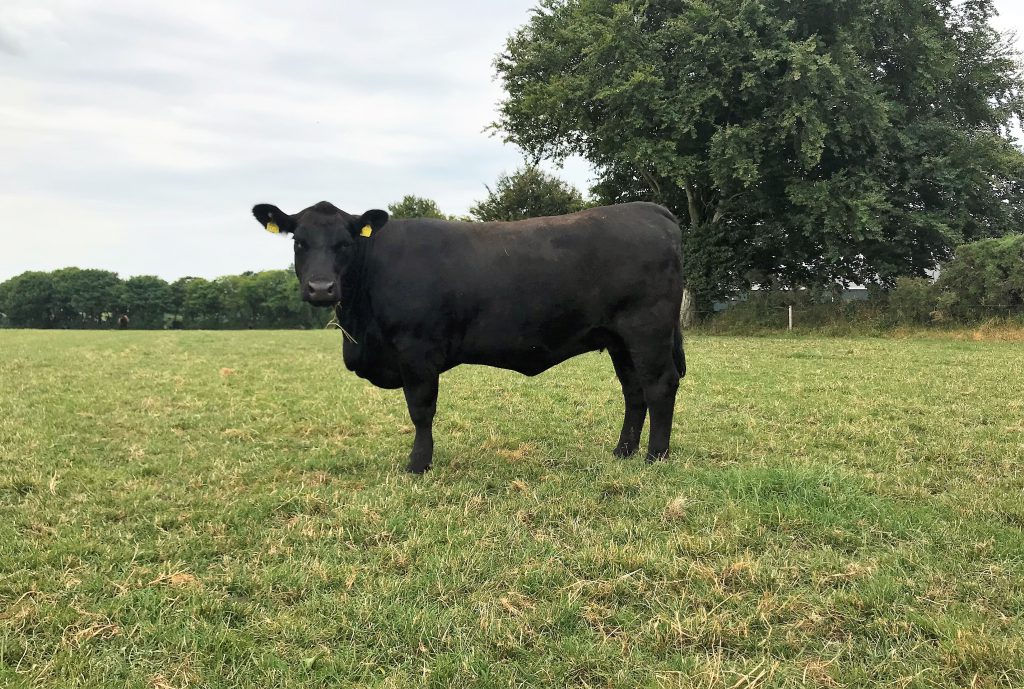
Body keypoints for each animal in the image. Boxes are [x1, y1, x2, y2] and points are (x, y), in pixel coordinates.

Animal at [252, 200, 685, 473]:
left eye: (345, 243)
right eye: (299, 241)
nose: (320, 288)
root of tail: (650, 210)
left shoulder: (416, 349)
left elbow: (421, 410)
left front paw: (418, 465)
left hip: (647, 330)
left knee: (659, 386)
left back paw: (655, 457)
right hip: (618, 339)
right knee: (634, 391)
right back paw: (623, 451)